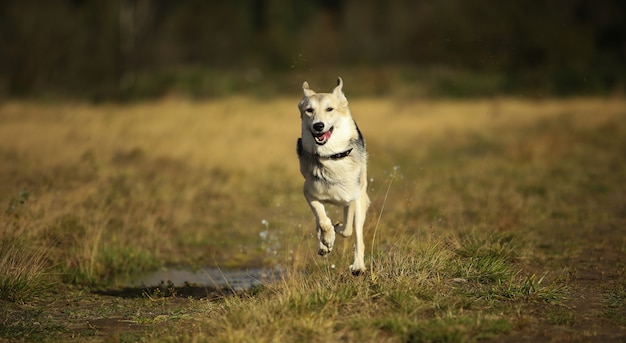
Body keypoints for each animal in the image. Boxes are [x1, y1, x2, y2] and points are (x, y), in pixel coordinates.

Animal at [294, 77, 368, 276]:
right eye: (309, 110)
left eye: (330, 109)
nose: (318, 126)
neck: (332, 156)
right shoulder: (308, 193)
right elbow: (323, 220)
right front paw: (328, 240)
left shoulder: (353, 197)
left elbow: (349, 229)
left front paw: (338, 230)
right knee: (319, 222)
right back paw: (324, 245)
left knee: (356, 233)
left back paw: (358, 266)